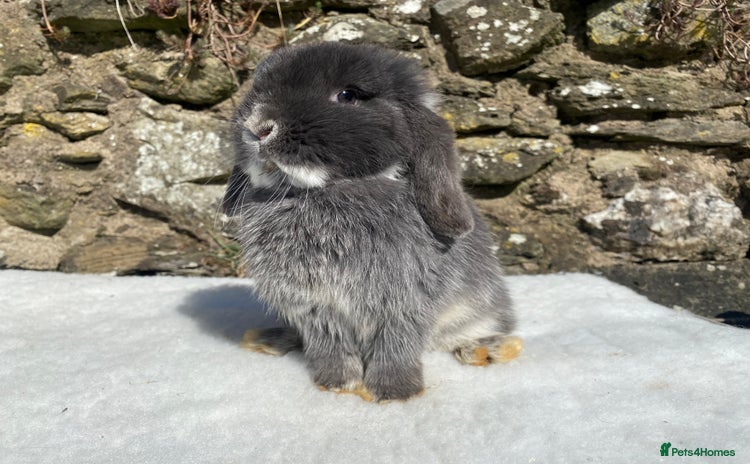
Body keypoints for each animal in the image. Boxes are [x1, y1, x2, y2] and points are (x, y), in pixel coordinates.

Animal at [222, 42, 520, 402]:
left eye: (348, 95)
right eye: (257, 89)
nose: (257, 127)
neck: (318, 192)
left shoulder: (402, 306)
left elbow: (395, 348)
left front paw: (395, 392)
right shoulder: (316, 310)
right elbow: (331, 349)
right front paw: (336, 383)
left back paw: (484, 350)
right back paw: (267, 339)